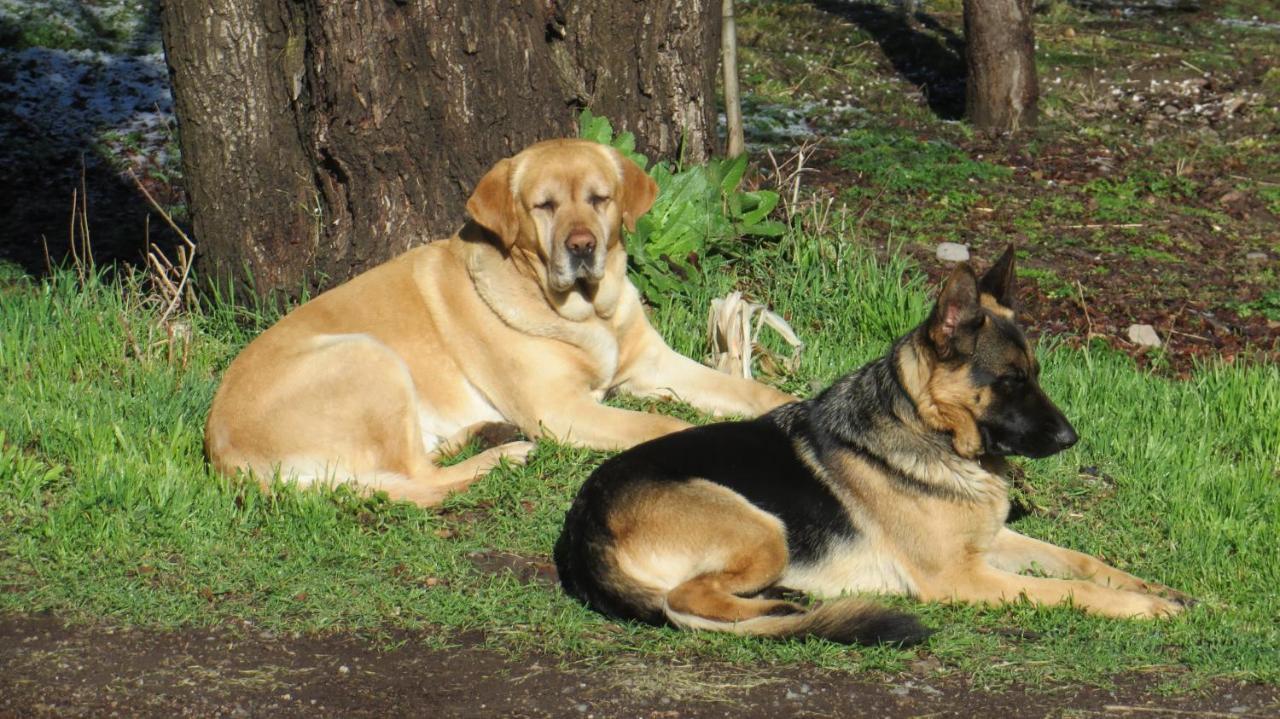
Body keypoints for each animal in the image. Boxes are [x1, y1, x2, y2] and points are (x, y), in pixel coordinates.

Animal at [204, 138, 793, 504]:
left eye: (600, 199)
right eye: (544, 206)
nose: (583, 246)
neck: (586, 312)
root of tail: (223, 454)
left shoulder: (654, 363)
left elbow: (749, 392)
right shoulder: (560, 410)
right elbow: (663, 426)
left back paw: (481, 434)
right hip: (369, 356)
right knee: (417, 482)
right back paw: (502, 457)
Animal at [555, 249, 1192, 639]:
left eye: (1035, 374)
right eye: (1011, 380)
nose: (1070, 437)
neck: (928, 431)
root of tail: (582, 521)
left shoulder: (992, 541)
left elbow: (1083, 562)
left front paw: (1151, 586)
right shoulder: (964, 577)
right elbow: (1067, 589)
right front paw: (1141, 607)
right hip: (764, 528)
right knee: (683, 600)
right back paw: (779, 605)